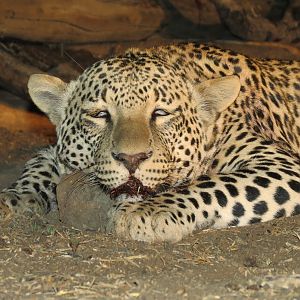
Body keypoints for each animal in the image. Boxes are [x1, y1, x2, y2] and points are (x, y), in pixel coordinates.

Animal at [0, 43, 300, 243]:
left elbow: (214, 184)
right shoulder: (54, 152)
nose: (131, 159)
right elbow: (38, 166)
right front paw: (15, 197)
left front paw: (146, 211)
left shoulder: (281, 164)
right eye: (100, 115)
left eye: (160, 113)